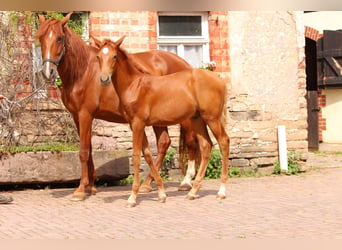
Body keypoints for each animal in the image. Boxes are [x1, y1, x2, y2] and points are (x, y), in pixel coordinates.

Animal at [35, 13, 198, 201]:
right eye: (41, 37)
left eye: (59, 38)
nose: (47, 72)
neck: (83, 72)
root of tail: (186, 65)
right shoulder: (77, 116)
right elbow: (89, 148)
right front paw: (91, 186)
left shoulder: (85, 114)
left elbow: (83, 151)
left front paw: (81, 190)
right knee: (164, 143)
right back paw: (147, 184)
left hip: (183, 118)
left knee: (191, 142)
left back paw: (185, 182)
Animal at [93, 35, 230, 207]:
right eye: (98, 56)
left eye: (114, 56)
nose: (104, 79)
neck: (134, 86)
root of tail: (219, 80)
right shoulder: (135, 125)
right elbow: (147, 154)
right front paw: (161, 194)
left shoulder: (138, 124)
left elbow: (136, 156)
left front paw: (132, 197)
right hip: (197, 119)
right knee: (206, 146)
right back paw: (192, 192)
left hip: (212, 118)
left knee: (224, 141)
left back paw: (221, 191)